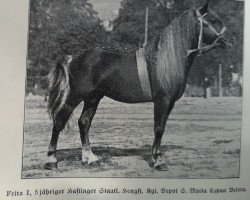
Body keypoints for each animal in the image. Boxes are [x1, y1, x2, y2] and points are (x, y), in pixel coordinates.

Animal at [46, 1, 230, 170]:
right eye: (209, 22)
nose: (226, 42)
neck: (166, 60)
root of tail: (73, 57)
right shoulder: (162, 100)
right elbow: (158, 128)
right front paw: (157, 160)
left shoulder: (170, 103)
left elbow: (162, 128)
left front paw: (156, 156)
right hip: (75, 96)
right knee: (59, 120)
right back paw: (51, 160)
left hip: (93, 98)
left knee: (84, 122)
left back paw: (89, 158)